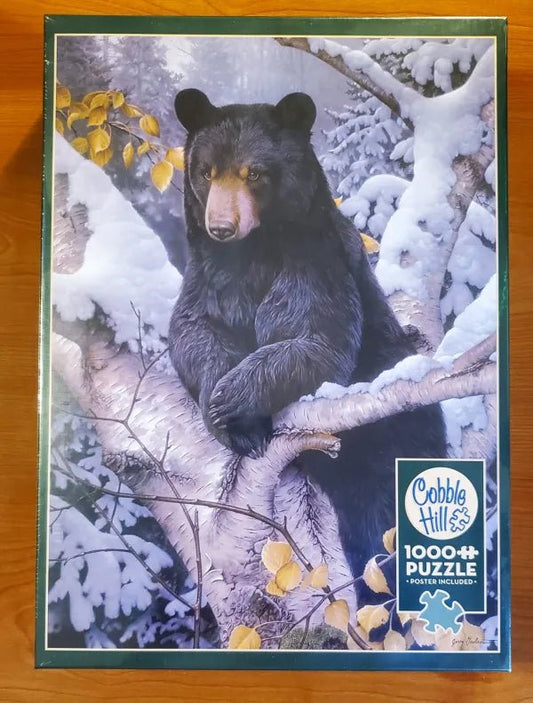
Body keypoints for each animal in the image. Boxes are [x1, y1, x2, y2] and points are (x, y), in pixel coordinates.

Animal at [169, 88, 447, 576]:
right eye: (206, 172)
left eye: (254, 173)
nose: (220, 227)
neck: (250, 253)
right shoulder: (207, 277)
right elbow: (191, 332)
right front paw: (228, 416)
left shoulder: (314, 260)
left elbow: (316, 339)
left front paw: (230, 399)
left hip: (399, 428)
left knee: (384, 508)